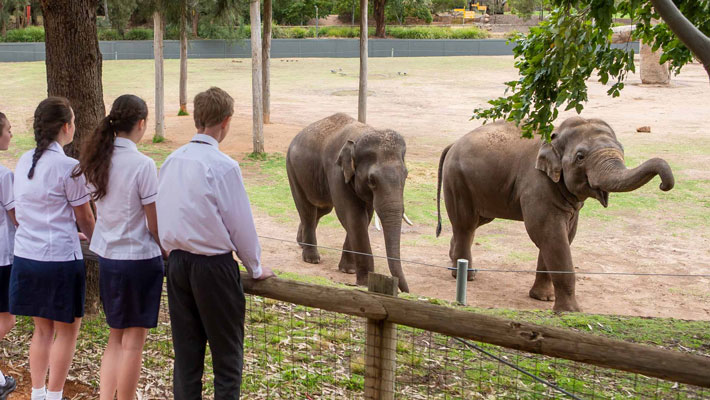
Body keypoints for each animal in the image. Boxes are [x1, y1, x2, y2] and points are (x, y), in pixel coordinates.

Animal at [288, 113, 412, 294]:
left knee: (322, 209)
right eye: (372, 180)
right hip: (293, 171)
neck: (362, 133)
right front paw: (365, 281)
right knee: (307, 210)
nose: (405, 291)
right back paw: (311, 258)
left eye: (406, 175)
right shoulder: (336, 171)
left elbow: (365, 216)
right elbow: (352, 216)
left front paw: (348, 270)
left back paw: (300, 242)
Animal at [436, 117, 676, 310]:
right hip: (457, 180)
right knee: (466, 224)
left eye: (622, 148)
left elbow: (562, 236)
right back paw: (465, 275)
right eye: (580, 157)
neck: (555, 133)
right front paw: (570, 311)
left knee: (476, 221)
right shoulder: (537, 183)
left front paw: (543, 298)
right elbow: (549, 234)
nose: (664, 185)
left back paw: (455, 261)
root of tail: (453, 143)